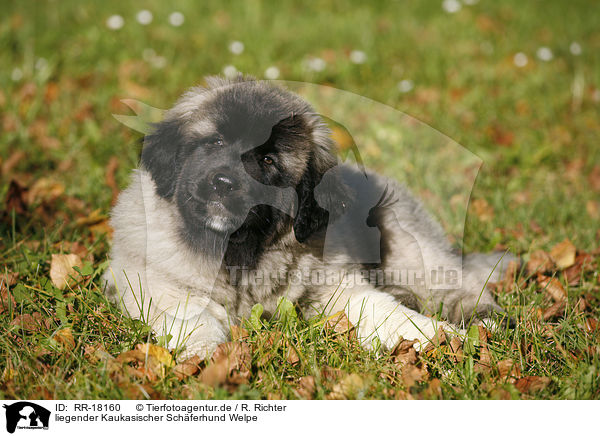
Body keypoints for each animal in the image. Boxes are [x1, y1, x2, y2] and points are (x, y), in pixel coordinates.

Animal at [102, 76, 510, 360]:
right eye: (215, 143)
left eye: (268, 161)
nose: (223, 183)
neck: (243, 257)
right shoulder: (155, 281)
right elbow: (196, 315)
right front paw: (206, 354)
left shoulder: (338, 287)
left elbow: (384, 311)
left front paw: (439, 337)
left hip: (409, 249)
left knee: (457, 286)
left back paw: (485, 321)